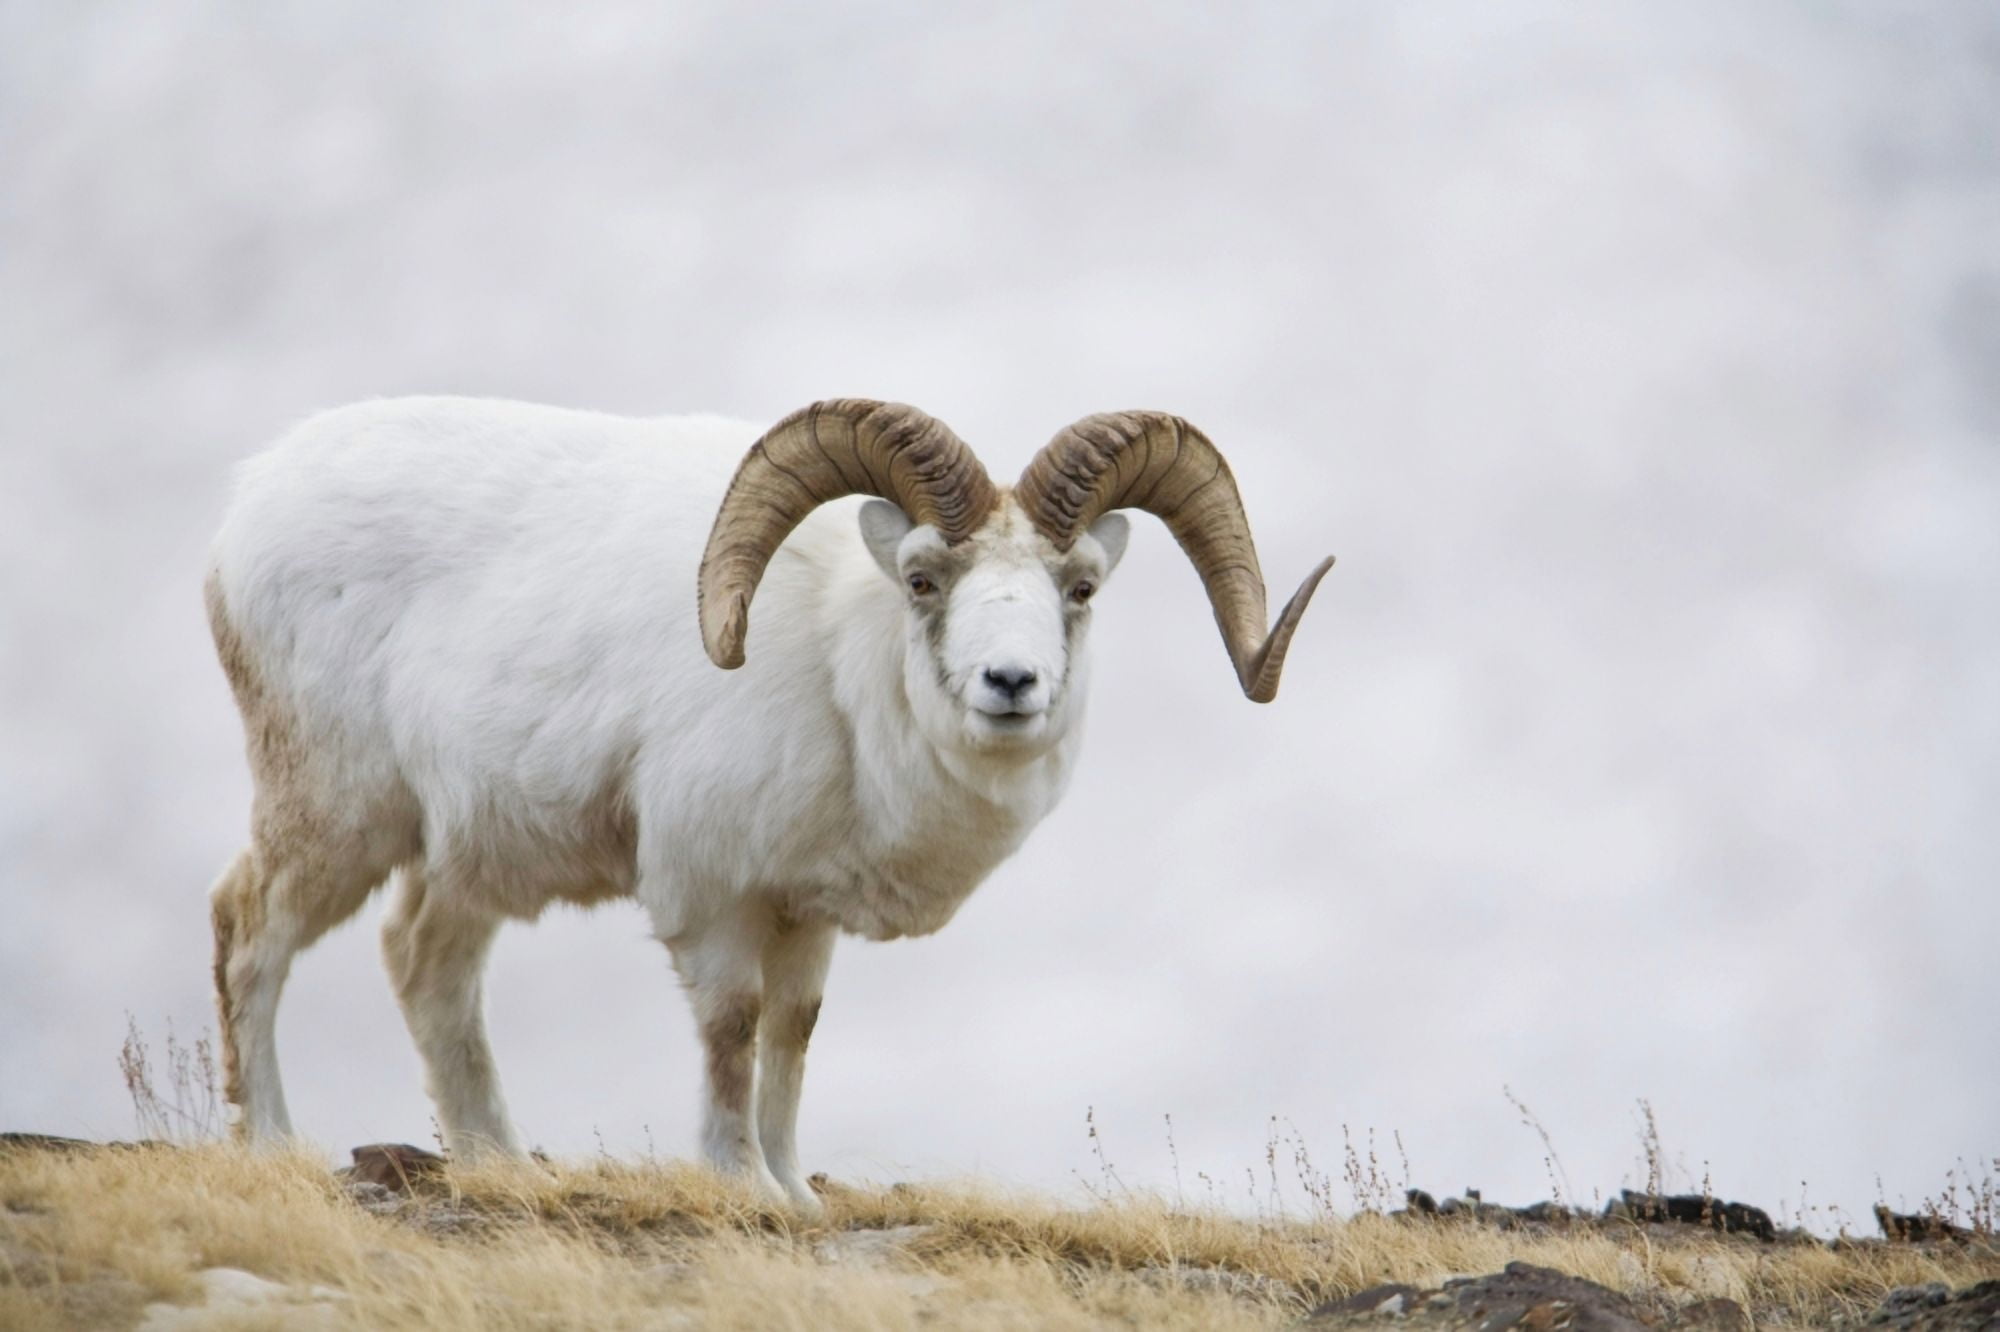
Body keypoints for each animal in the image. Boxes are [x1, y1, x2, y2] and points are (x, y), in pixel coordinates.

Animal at [205, 396, 1331, 1211]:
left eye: (1081, 586)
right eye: (924, 580)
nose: (1009, 684)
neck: (844, 678)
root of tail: (245, 510)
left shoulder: (802, 915)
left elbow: (791, 1037)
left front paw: (794, 1193)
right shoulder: (710, 899)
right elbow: (732, 1032)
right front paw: (741, 1186)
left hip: (466, 856)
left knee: (428, 969)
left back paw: (502, 1167)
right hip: (331, 816)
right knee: (249, 935)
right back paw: (272, 1146)